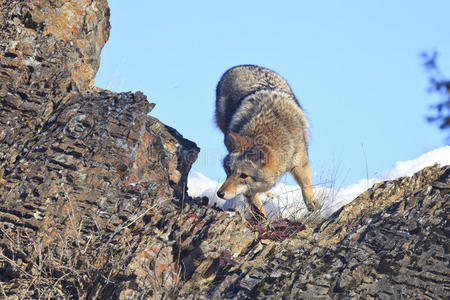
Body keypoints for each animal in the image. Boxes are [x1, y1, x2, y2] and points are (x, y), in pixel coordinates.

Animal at [214, 64, 320, 217]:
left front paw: (312, 203)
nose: (220, 193)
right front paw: (262, 219)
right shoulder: (249, 190)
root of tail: (239, 66)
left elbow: (306, 184)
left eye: (243, 175)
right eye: (229, 171)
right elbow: (255, 203)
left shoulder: (299, 162)